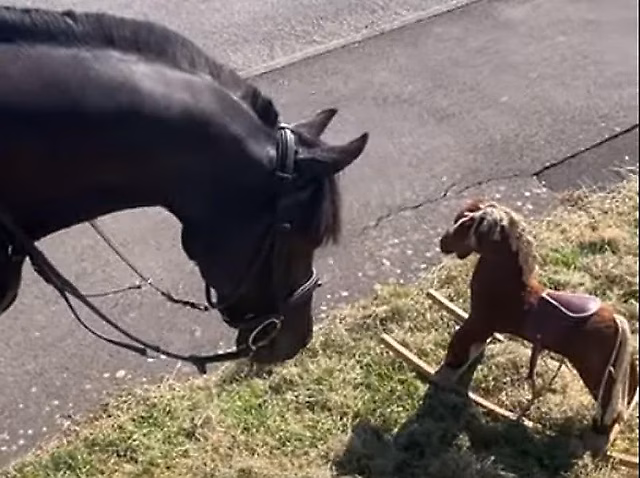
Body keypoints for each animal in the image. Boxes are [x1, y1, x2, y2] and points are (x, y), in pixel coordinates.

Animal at [435, 199, 638, 456]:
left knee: (608, 404)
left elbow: (460, 344)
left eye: (467, 225)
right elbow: (473, 346)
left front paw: (447, 371)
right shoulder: (484, 326)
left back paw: (595, 438)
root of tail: (617, 320)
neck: (509, 287)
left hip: (596, 372)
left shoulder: (480, 321)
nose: (443, 242)